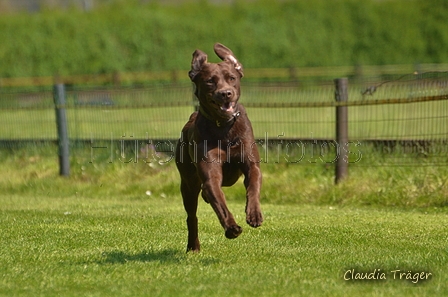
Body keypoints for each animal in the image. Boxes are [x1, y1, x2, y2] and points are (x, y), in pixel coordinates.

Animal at [175, 42, 264, 251]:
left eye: (232, 78)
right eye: (210, 81)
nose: (226, 93)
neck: (223, 127)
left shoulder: (250, 162)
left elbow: (253, 184)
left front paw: (254, 214)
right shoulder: (210, 172)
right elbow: (218, 199)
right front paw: (231, 228)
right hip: (187, 182)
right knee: (192, 214)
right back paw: (193, 246)